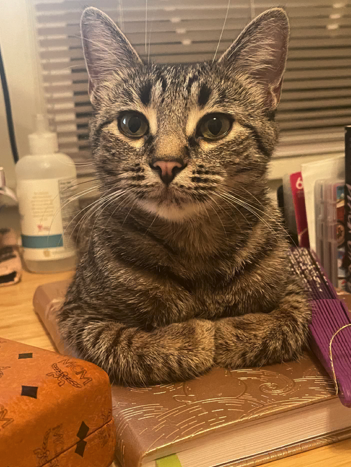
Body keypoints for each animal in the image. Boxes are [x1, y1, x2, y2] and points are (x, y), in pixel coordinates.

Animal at [59, 6, 312, 388]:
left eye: (215, 126)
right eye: (131, 124)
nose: (166, 163)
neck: (194, 243)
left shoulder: (295, 288)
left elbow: (290, 322)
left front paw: (236, 329)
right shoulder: (77, 313)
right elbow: (119, 342)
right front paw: (190, 337)